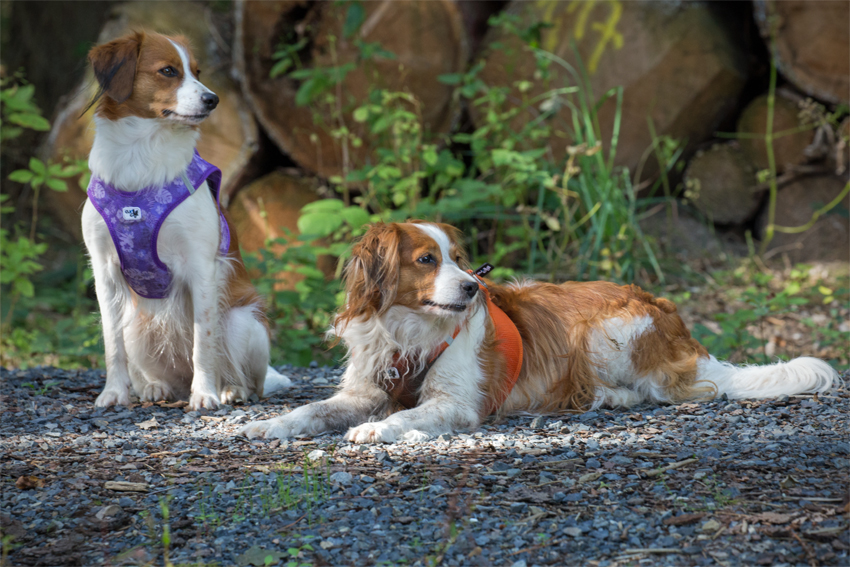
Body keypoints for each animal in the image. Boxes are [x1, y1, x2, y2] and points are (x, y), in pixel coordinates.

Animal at [82, 32, 290, 408]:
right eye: (168, 71)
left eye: (197, 71)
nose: (213, 99)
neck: (142, 152)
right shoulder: (104, 271)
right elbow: (111, 345)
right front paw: (114, 392)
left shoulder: (201, 267)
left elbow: (203, 342)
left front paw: (205, 394)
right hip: (136, 323)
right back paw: (155, 387)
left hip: (242, 321)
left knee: (246, 378)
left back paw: (229, 389)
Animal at [238, 222, 836, 444]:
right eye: (428, 260)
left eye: (461, 260)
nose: (472, 288)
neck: (411, 332)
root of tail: (675, 324)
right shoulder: (363, 389)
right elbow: (313, 409)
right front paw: (268, 425)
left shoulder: (457, 404)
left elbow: (407, 415)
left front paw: (376, 431)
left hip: (602, 333)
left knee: (670, 391)